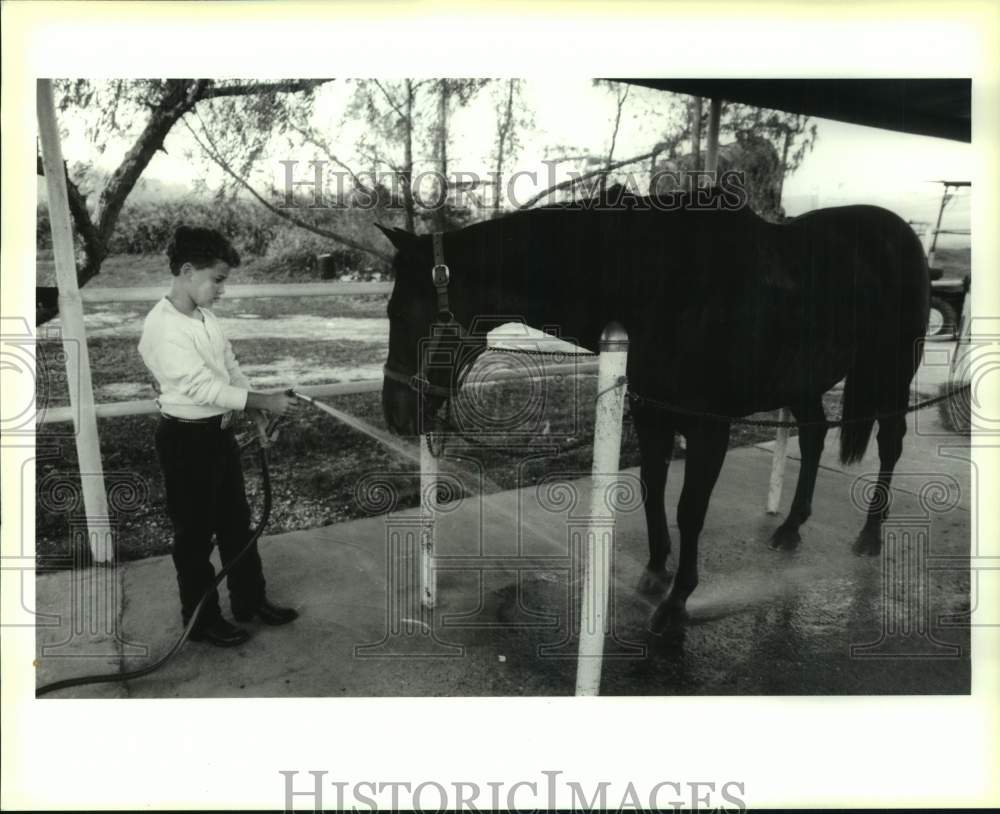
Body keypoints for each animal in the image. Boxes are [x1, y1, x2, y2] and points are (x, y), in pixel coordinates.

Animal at [376, 194, 928, 636]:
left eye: (400, 314)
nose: (396, 413)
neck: (664, 288)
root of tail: (902, 233)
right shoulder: (651, 413)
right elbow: (654, 486)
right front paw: (657, 568)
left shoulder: (708, 427)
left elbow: (689, 509)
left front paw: (677, 600)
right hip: (805, 383)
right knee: (814, 436)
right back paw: (791, 528)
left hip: (893, 372)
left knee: (891, 441)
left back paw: (869, 536)